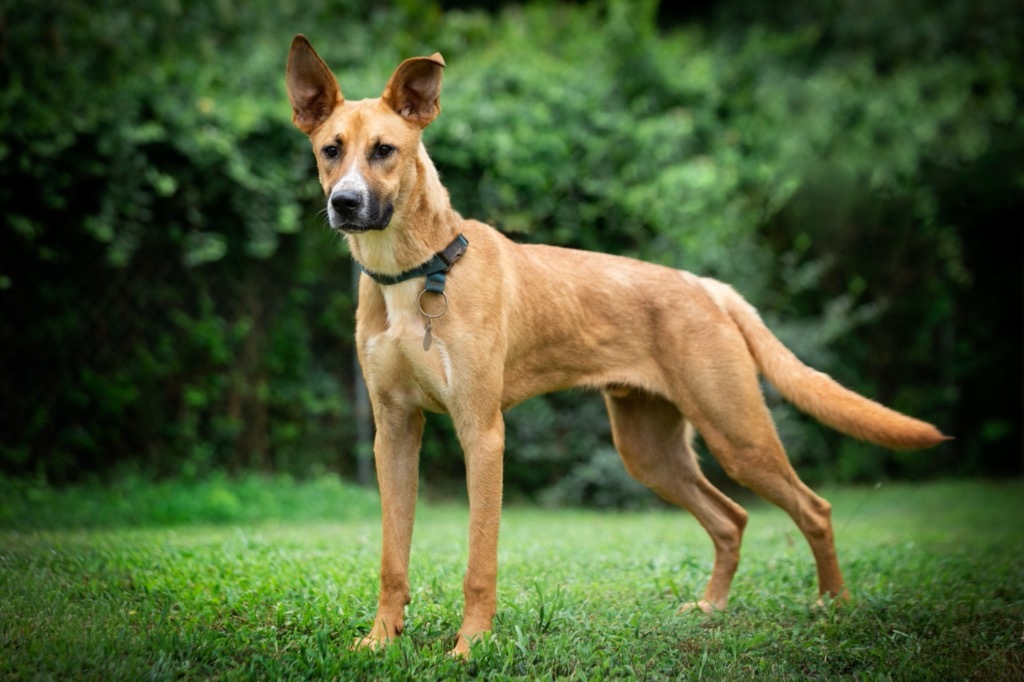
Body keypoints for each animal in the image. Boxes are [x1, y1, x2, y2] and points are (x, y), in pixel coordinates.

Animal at [286, 34, 942, 655]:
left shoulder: (483, 432)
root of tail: (705, 286)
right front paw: (380, 641)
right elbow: (392, 559)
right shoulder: (394, 432)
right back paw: (712, 608)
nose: (344, 204)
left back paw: (833, 604)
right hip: (649, 449)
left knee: (814, 510)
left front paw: (471, 646)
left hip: (738, 435)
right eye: (330, 150)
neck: (418, 271)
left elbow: (480, 565)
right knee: (730, 519)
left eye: (385, 151)